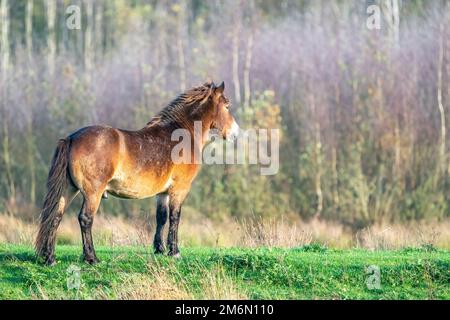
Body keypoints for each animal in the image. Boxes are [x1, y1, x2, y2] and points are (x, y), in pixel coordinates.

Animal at [35, 82, 239, 264]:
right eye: (227, 105)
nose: (235, 134)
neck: (181, 135)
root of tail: (71, 138)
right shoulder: (179, 189)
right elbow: (175, 217)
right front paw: (174, 252)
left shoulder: (163, 192)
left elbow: (161, 217)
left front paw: (160, 249)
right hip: (93, 193)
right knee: (85, 219)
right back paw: (91, 258)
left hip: (68, 190)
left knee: (55, 217)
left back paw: (50, 258)